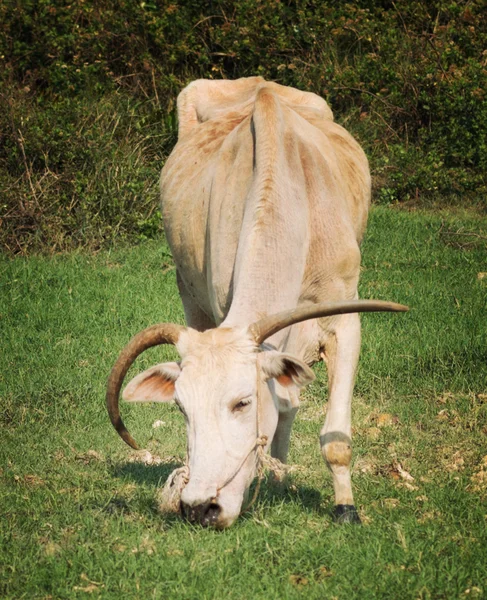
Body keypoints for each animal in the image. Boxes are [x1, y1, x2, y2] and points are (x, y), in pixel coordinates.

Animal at [107, 76, 408, 528]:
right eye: (181, 408)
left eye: (242, 402)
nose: (200, 506)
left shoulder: (344, 320)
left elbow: (335, 437)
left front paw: (345, 507)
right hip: (189, 291)